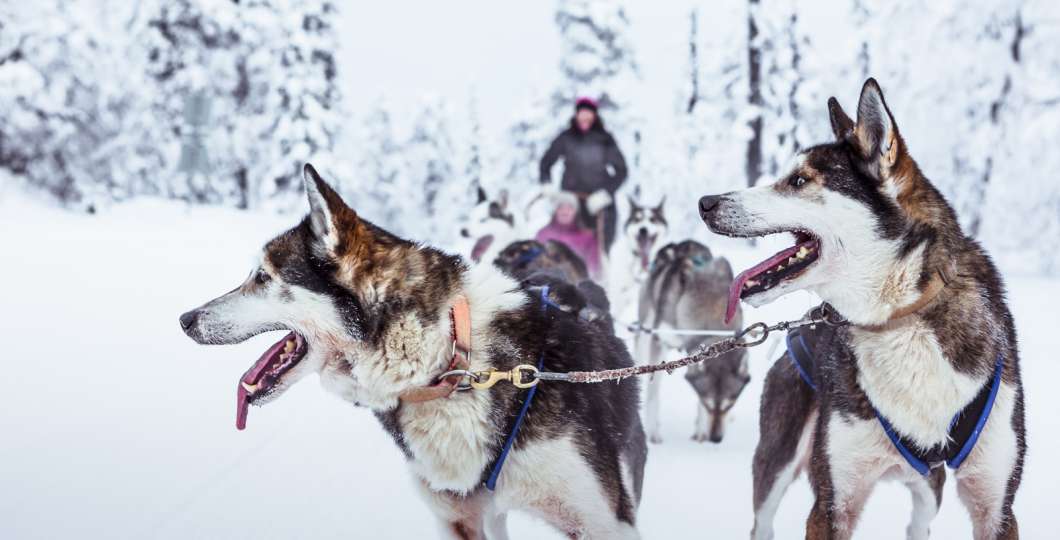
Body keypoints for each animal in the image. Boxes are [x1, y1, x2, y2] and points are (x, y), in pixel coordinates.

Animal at [631, 238, 750, 441]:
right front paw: (652, 432)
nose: (716, 439)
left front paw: (700, 431)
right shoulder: (659, 341)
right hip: (646, 330)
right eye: (709, 403)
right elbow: (653, 393)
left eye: (729, 404)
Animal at [699, 79, 1021, 538]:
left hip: (929, 489)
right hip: (777, 459)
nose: (705, 203)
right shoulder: (833, 502)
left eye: (799, 180)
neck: (900, 318)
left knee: (919, 521)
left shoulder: (996, 504)